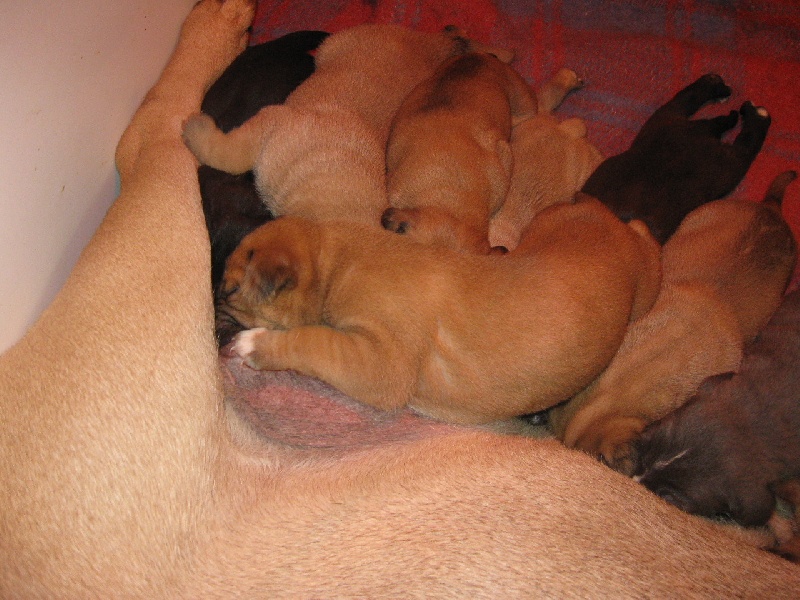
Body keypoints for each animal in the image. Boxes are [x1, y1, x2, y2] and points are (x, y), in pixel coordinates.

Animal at [220, 193, 661, 424]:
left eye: (229, 289)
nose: (219, 323)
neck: (334, 260)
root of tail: (603, 215)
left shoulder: (379, 363)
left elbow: (311, 341)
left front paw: (254, 345)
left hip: (644, 286)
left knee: (646, 238)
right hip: (543, 225)